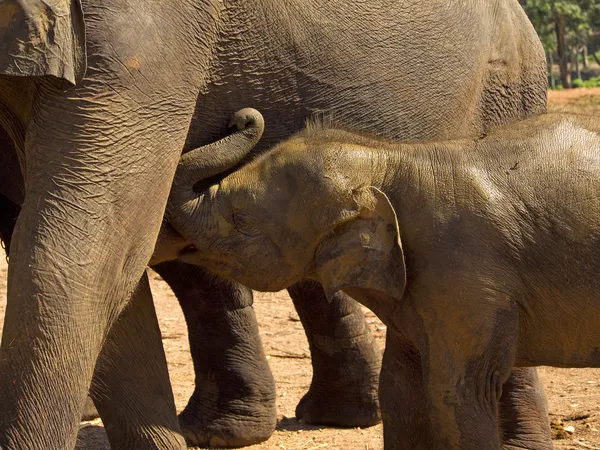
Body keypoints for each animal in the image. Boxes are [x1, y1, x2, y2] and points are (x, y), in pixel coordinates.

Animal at [158, 110, 600, 450]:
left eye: (243, 219)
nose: (241, 117)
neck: (393, 158)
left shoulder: (464, 273)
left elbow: (459, 391)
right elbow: (401, 390)